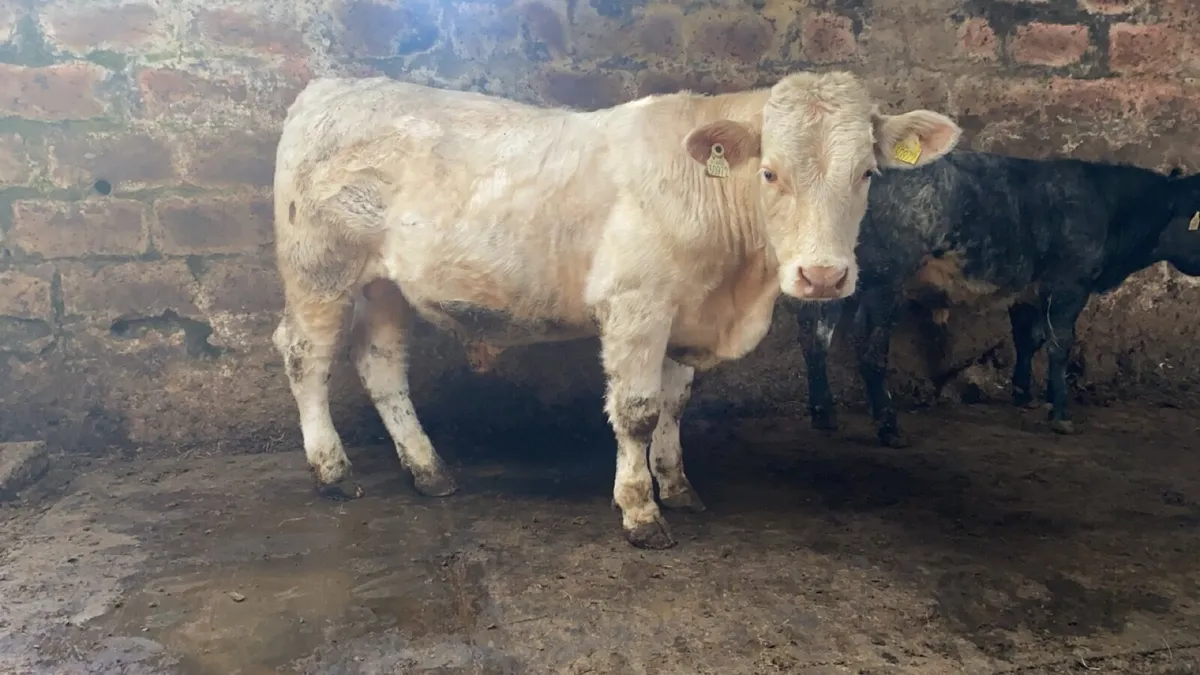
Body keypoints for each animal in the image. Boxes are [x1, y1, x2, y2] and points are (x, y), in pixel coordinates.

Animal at [270, 72, 962, 549]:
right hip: (318, 269)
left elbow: (675, 405)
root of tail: (334, 85)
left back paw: (428, 470)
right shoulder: (637, 304)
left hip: (383, 284)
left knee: (380, 364)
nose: (822, 276)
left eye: (867, 172)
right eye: (769, 172)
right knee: (306, 356)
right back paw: (331, 470)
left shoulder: (685, 313)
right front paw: (639, 510)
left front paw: (677, 486)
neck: (733, 288)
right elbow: (637, 411)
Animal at [795, 149, 1200, 448]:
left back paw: (824, 413)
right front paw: (1061, 414)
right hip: (886, 279)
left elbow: (1027, 338)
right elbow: (1059, 344)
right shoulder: (1069, 284)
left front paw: (1024, 394)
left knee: (815, 335)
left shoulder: (1028, 290)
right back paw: (889, 427)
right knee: (870, 349)